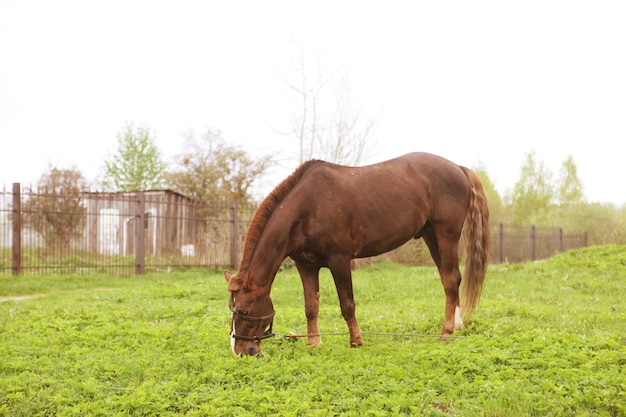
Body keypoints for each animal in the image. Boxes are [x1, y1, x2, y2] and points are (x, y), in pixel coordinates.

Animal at [224, 151, 488, 356]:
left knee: (451, 280)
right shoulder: (306, 266)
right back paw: (457, 325)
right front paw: (313, 343)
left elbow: (347, 304)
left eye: (245, 311)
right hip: (431, 236)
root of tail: (459, 168)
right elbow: (311, 305)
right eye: (232, 310)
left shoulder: (339, 261)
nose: (241, 351)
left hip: (446, 235)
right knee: (448, 280)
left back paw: (446, 332)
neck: (307, 208)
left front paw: (356, 341)